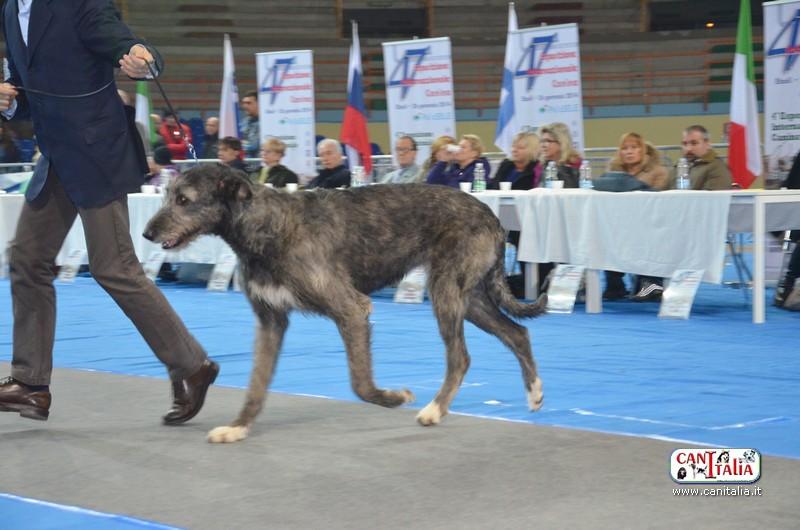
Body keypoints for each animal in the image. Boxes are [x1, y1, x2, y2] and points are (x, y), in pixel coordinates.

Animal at [143, 164, 547, 443]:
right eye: (167, 194)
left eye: (184, 199)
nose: (147, 232)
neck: (265, 226)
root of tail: (491, 215)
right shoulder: (271, 320)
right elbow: (257, 384)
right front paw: (238, 427)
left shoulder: (351, 308)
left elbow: (359, 383)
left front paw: (393, 397)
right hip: (470, 296)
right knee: (518, 333)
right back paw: (534, 392)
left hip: (448, 290)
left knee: (461, 356)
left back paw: (434, 410)